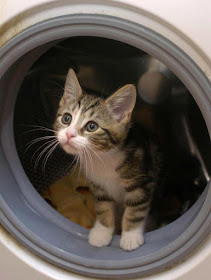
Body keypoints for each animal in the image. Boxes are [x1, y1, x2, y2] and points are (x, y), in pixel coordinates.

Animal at [54, 68, 162, 252]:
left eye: (92, 126)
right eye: (66, 118)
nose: (69, 134)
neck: (102, 158)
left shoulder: (142, 182)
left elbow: (136, 209)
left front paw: (130, 236)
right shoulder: (98, 185)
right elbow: (103, 208)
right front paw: (102, 232)